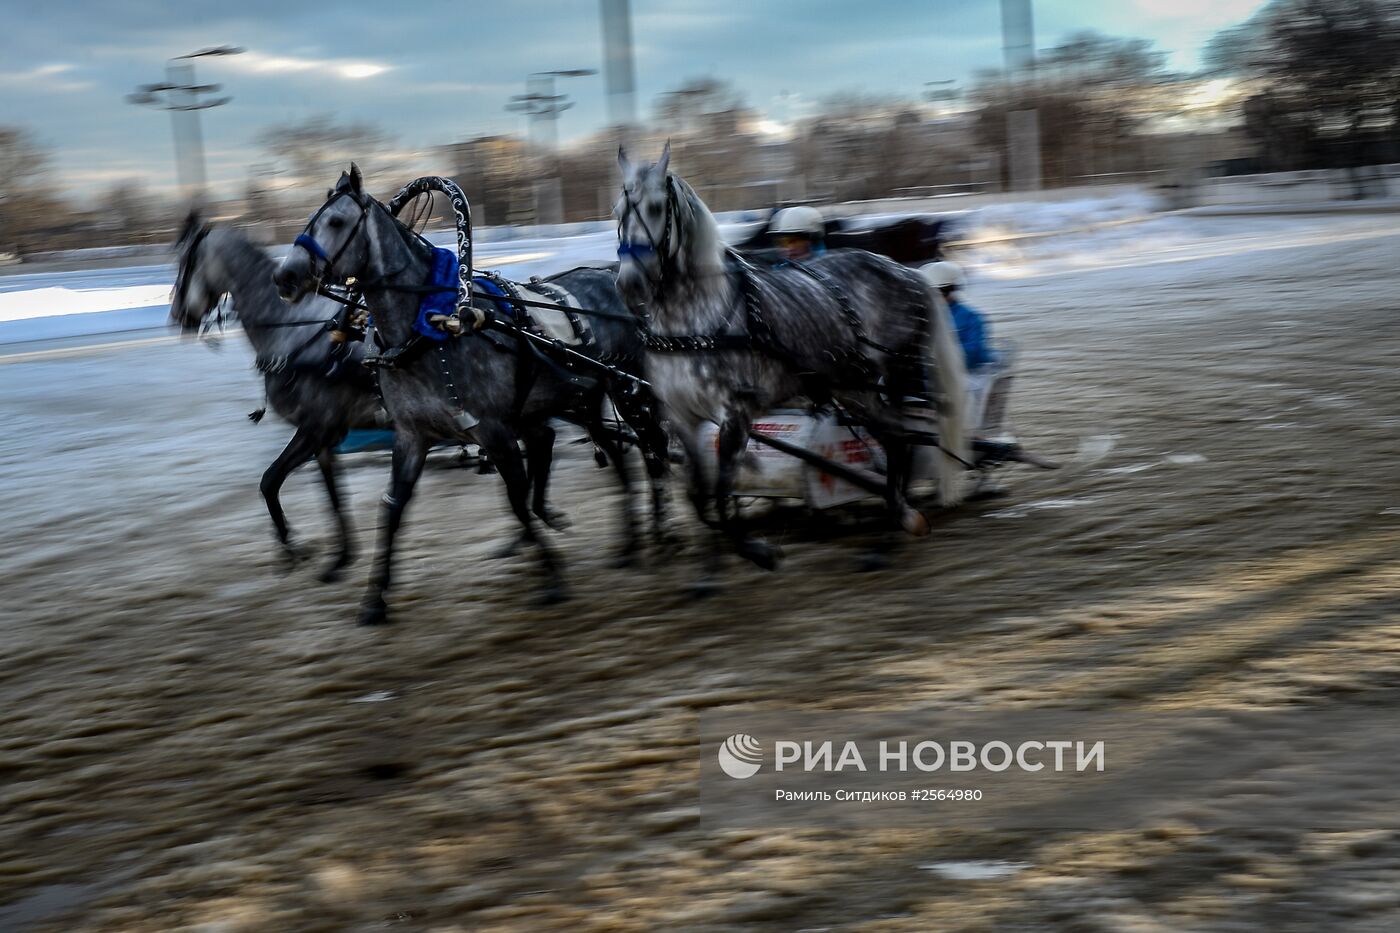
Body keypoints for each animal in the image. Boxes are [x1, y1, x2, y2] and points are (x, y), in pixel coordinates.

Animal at [172, 215, 380, 582]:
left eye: (186, 262)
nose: (176, 315)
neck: (293, 330)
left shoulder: (316, 429)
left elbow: (270, 480)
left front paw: (290, 543)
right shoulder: (325, 439)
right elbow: (331, 495)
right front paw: (340, 557)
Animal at [273, 165, 666, 624]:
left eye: (336, 222)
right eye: (309, 220)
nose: (285, 276)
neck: (432, 328)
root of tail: (611, 275)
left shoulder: (493, 430)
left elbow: (515, 499)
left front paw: (551, 574)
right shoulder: (412, 435)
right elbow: (391, 508)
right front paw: (374, 599)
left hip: (627, 390)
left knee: (653, 449)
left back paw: (662, 529)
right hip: (581, 401)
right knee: (614, 457)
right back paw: (630, 543)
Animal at [618, 141, 968, 585]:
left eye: (656, 207)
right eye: (618, 209)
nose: (629, 283)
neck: (694, 320)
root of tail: (904, 271)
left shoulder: (735, 413)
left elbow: (721, 490)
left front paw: (760, 551)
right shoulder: (681, 415)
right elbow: (699, 494)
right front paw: (711, 569)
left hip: (896, 371)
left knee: (901, 439)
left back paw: (894, 529)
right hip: (851, 388)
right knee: (893, 437)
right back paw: (895, 521)